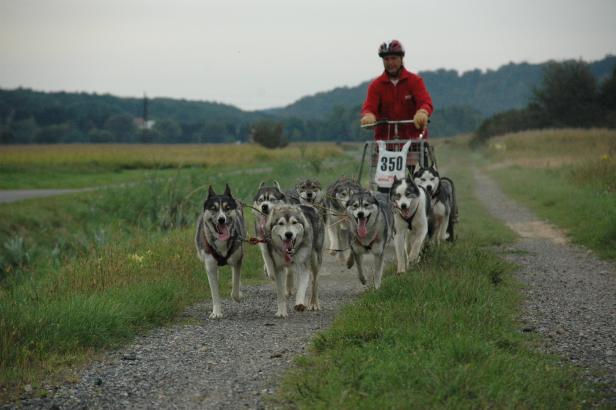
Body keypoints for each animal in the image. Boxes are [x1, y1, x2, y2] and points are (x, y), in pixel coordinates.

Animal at [196, 184, 247, 318]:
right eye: (213, 208)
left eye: (227, 208)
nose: (221, 219)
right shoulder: (210, 265)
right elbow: (214, 292)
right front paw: (216, 312)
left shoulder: (237, 258)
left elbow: (235, 283)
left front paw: (237, 296)